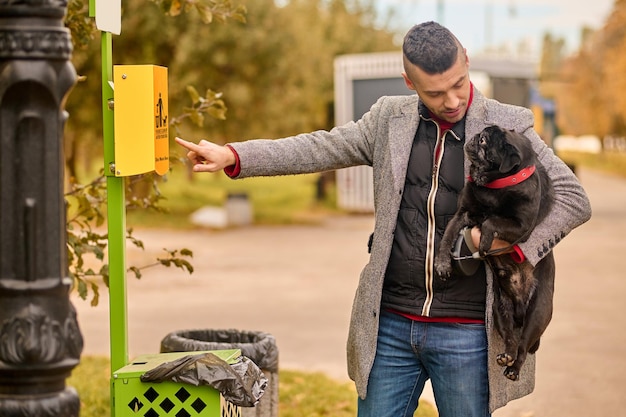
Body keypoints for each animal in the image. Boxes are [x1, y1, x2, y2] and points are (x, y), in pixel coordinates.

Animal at [434, 126, 552, 380]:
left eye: (484, 141)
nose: (474, 137)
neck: (494, 186)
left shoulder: (521, 227)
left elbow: (491, 221)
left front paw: (485, 242)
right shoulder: (463, 214)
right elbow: (447, 237)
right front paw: (442, 263)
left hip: (537, 314)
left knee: (523, 346)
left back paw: (514, 369)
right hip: (499, 309)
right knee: (510, 338)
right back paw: (506, 355)